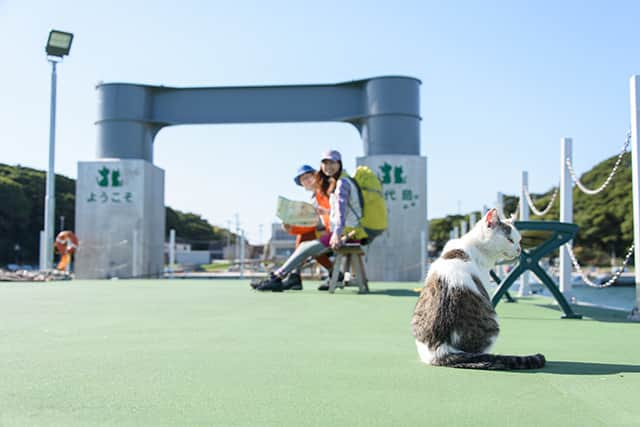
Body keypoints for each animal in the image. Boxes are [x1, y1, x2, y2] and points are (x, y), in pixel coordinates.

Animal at [410, 209, 544, 370]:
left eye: (519, 240)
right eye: (510, 240)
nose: (519, 250)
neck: (471, 245)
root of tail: (442, 349)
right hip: (492, 324)